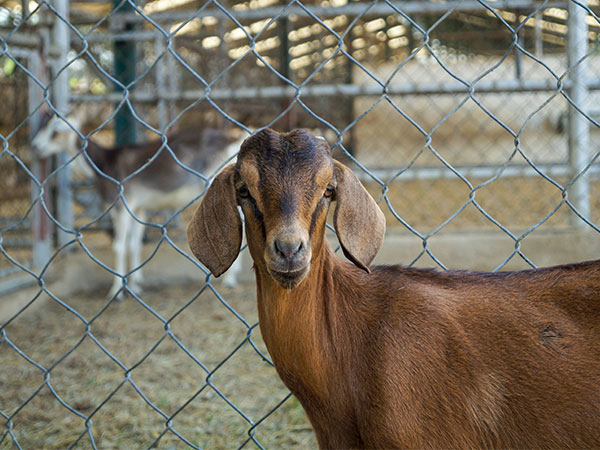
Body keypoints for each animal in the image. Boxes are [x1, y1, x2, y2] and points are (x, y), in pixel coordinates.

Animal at [31, 109, 243, 298]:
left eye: (55, 130)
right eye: (41, 126)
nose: (35, 146)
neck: (104, 163)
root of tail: (234, 140)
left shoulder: (120, 204)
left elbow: (119, 245)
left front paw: (116, 291)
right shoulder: (138, 208)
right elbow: (134, 243)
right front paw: (136, 284)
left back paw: (230, 281)